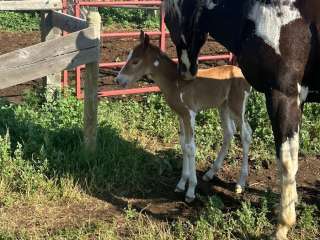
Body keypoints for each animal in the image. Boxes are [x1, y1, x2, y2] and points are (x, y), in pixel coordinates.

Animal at [164, 0, 320, 240]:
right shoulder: (298, 97)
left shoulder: (283, 95)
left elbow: (285, 160)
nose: (185, 72)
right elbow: (293, 160)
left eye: (165, 20)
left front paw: (283, 225)